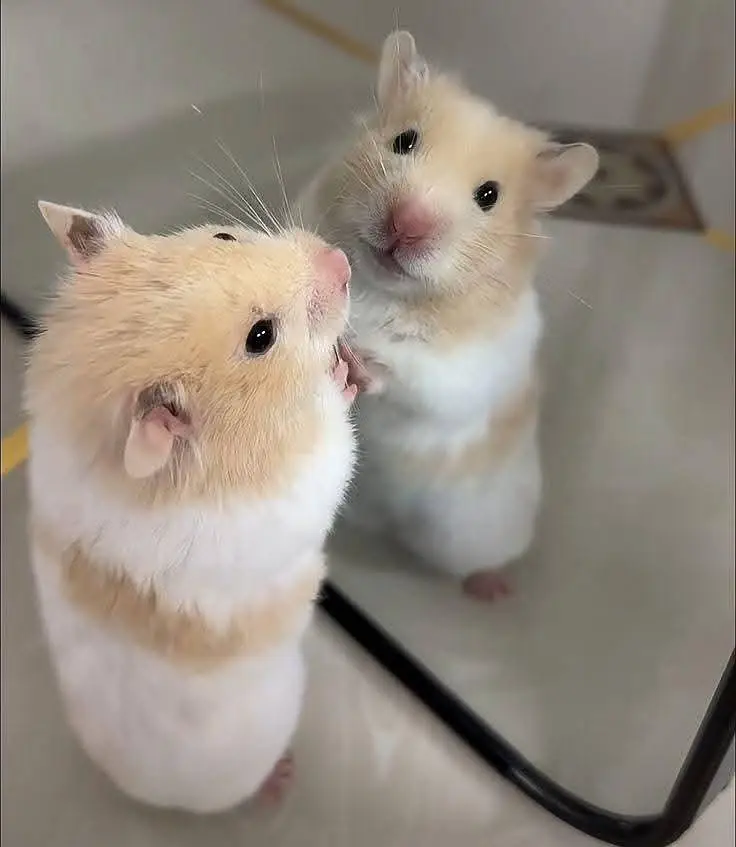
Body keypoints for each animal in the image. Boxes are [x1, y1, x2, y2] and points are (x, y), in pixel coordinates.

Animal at [25, 201, 358, 812]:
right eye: (260, 337)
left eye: (224, 235)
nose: (341, 261)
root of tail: (147, 795)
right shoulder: (299, 484)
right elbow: (335, 443)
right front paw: (340, 374)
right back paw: (280, 780)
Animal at [299, 31, 599, 600]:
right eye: (404, 141)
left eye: (489, 195)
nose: (406, 225)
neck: (385, 290)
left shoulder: (470, 370)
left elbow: (420, 379)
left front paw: (364, 360)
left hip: (472, 534)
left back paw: (494, 589)